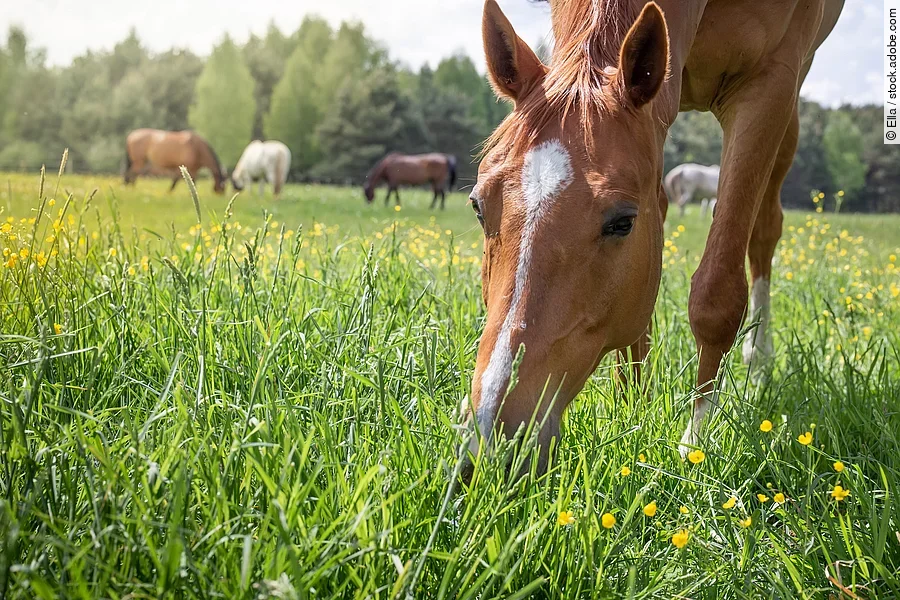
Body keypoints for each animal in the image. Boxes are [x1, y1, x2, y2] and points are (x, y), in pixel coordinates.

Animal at [463, 0, 843, 476]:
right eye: (479, 206)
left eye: (622, 223)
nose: (489, 438)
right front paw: (632, 410)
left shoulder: (771, 83)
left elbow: (717, 297)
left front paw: (695, 444)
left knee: (764, 231)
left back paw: (759, 359)